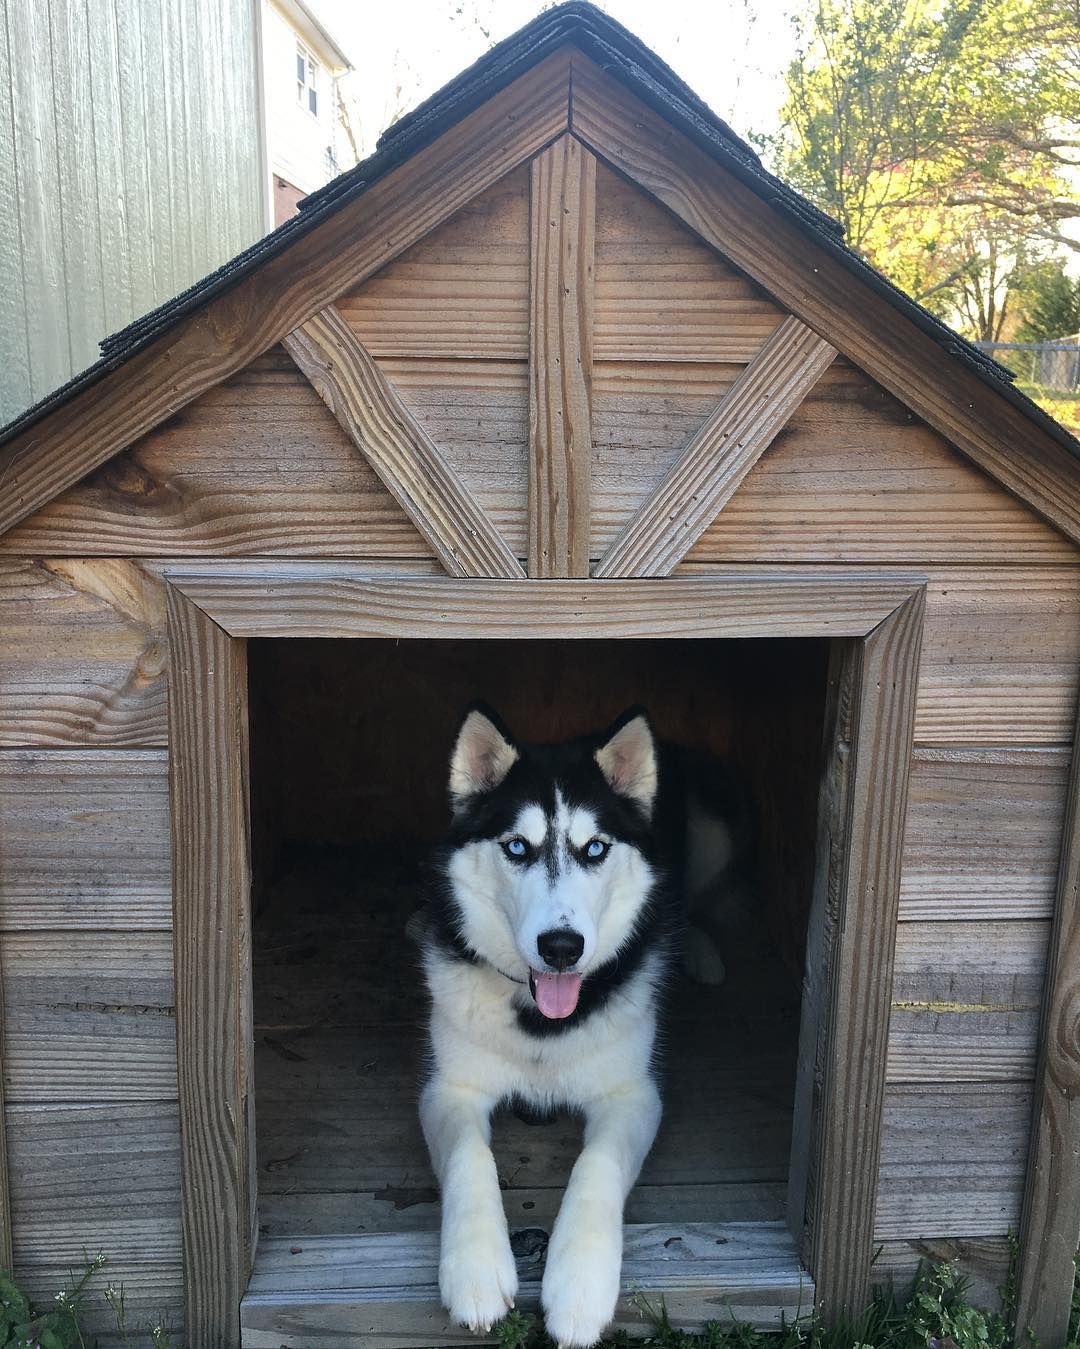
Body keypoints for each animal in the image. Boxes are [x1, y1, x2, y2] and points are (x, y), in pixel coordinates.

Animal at [417, 706, 744, 1349]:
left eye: (594, 848)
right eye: (517, 847)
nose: (562, 947)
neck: (542, 1023)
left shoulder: (632, 1093)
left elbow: (597, 1165)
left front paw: (580, 1286)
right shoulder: (449, 1088)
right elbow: (471, 1156)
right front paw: (474, 1269)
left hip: (715, 835)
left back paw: (696, 951)